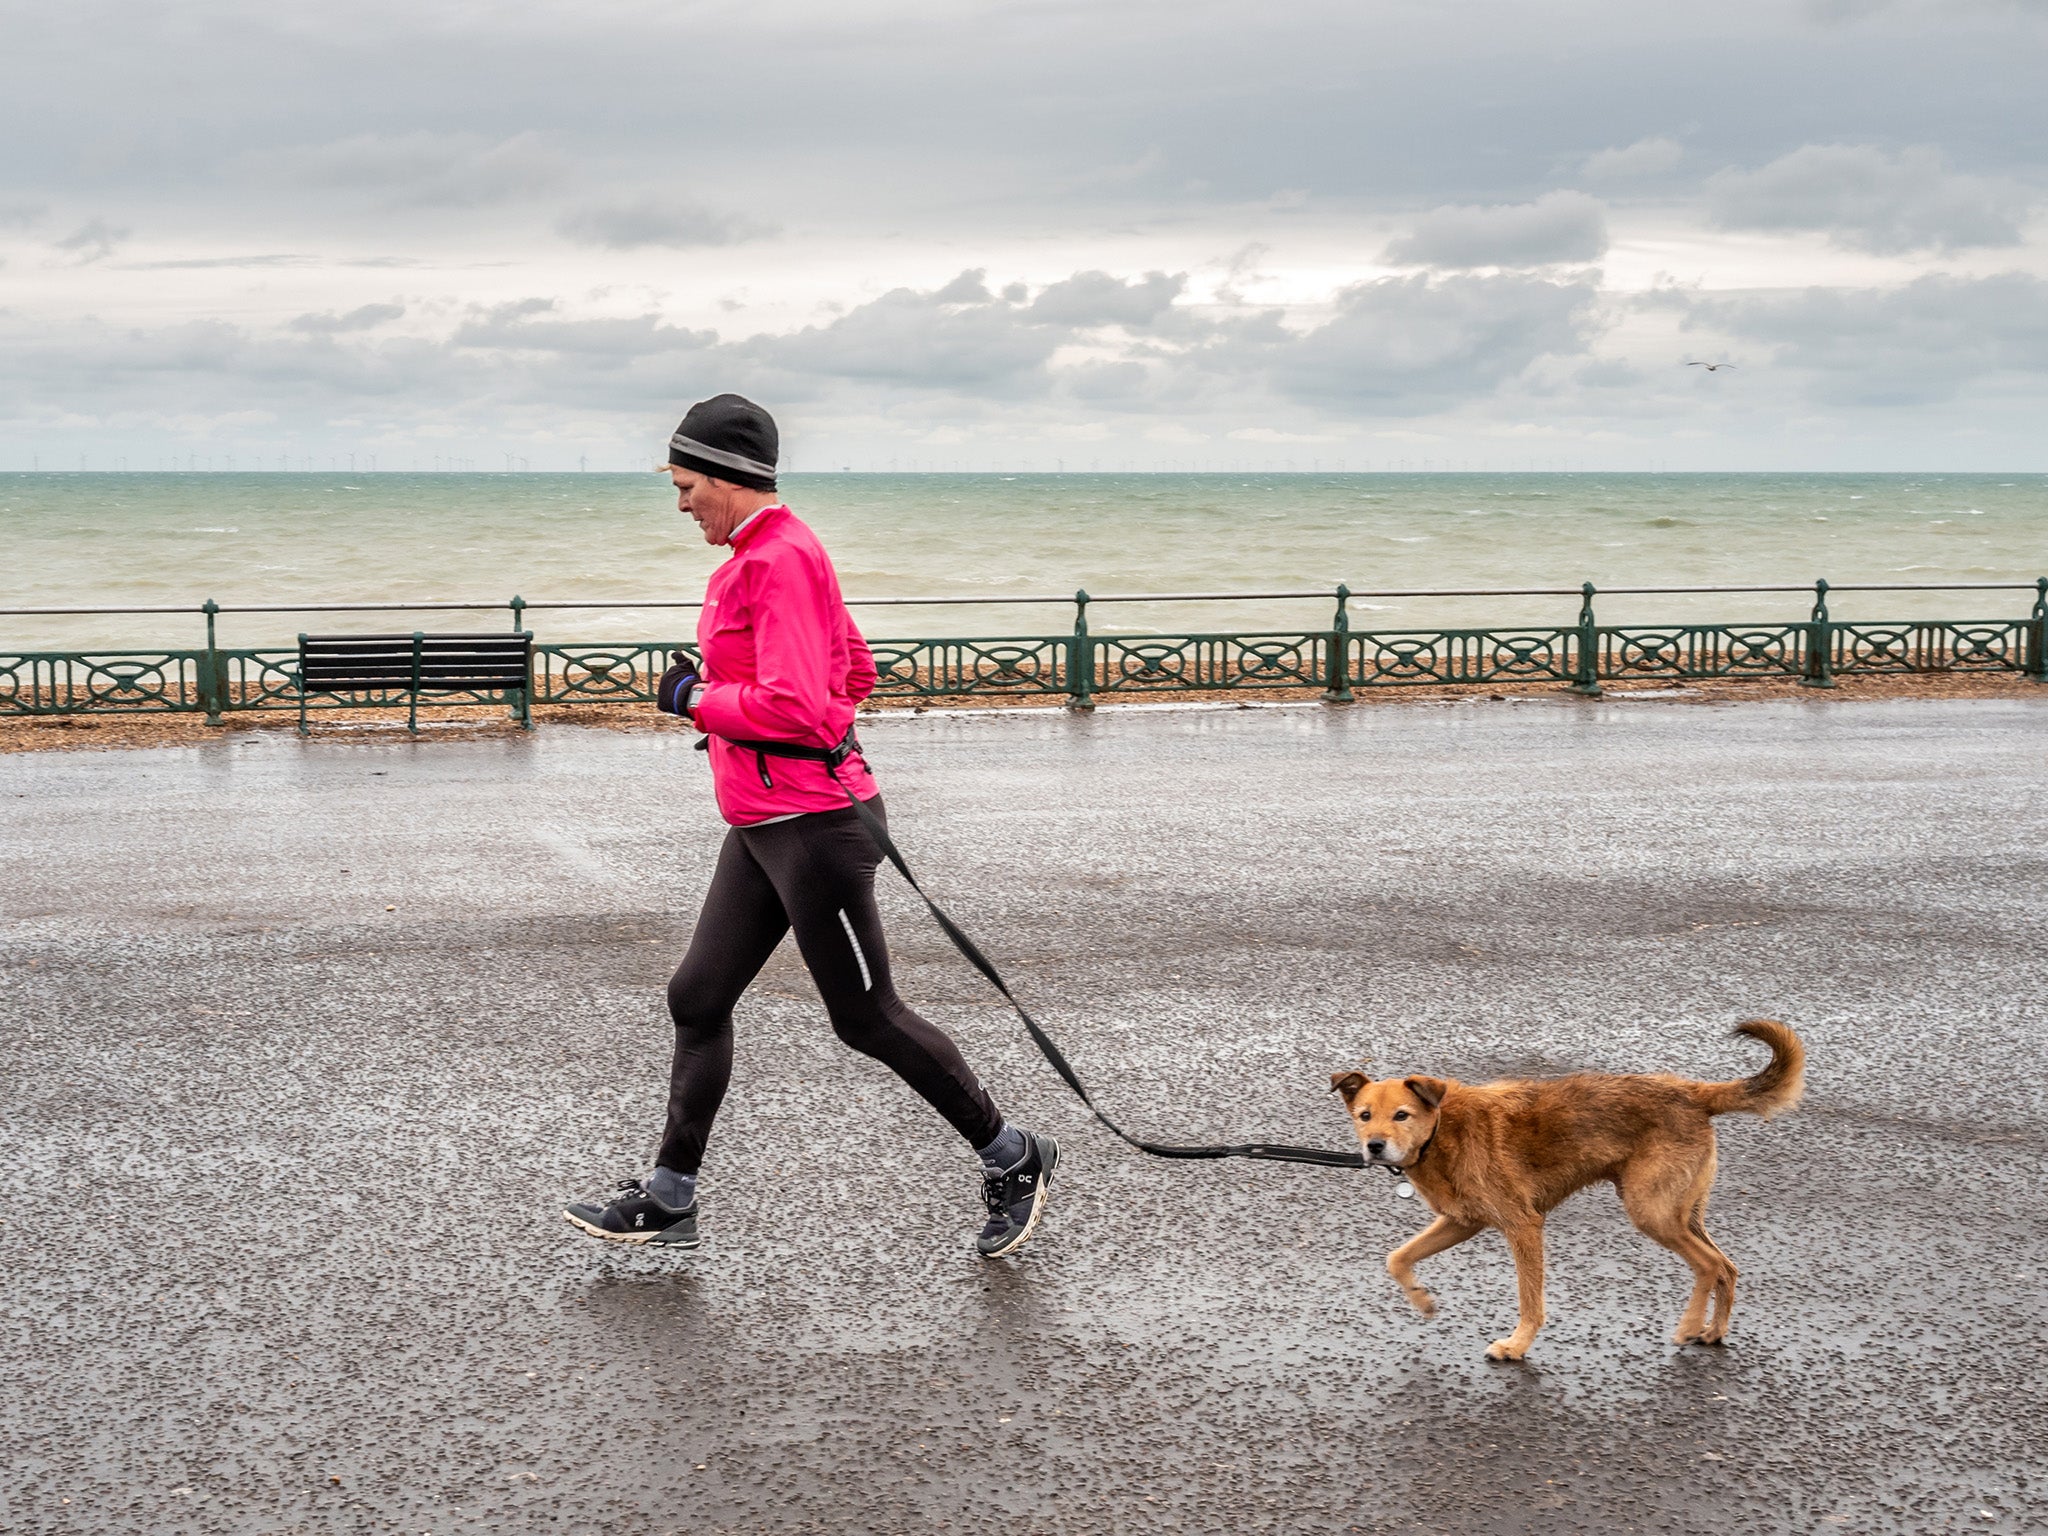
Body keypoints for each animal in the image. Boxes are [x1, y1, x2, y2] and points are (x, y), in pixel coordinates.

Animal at [1318, 1024, 1802, 1359]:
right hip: (1681, 1212)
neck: (1442, 1131)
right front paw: (1421, 1300)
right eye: (1364, 1115)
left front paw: (1516, 1346)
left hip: (1652, 1212)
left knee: (1708, 1266)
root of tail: (1693, 1092)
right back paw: (1714, 1330)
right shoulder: (1460, 1221)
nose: (1374, 1146)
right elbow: (1397, 1258)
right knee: (1727, 1267)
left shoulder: (1523, 1225)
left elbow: (1530, 1301)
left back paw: (1688, 1326)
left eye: (1401, 1115)